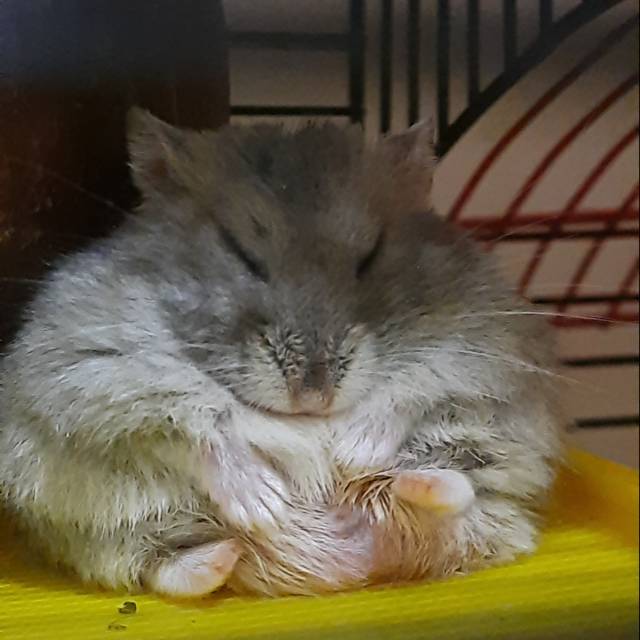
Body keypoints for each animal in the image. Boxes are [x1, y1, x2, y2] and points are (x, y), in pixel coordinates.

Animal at [0, 109, 564, 597]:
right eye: (242, 254)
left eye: (370, 255)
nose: (314, 396)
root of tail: (352, 564)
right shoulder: (97, 368)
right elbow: (194, 421)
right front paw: (266, 504)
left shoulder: (479, 352)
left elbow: (409, 393)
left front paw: (350, 456)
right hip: (107, 535)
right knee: (162, 566)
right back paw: (230, 549)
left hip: (491, 487)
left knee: (456, 504)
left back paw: (402, 483)